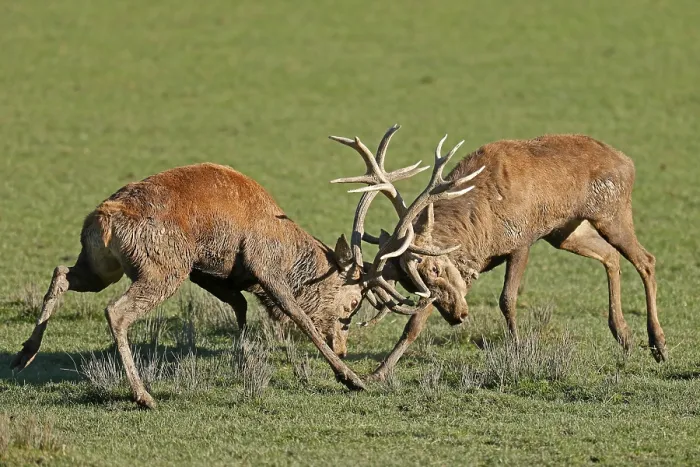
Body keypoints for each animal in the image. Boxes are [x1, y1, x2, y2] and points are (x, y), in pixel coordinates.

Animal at [9, 162, 419, 408]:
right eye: (350, 305)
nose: (344, 348)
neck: (290, 253)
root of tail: (105, 218)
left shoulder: (210, 271)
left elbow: (241, 308)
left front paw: (244, 364)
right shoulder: (263, 264)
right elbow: (296, 315)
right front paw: (351, 378)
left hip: (101, 266)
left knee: (62, 273)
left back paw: (24, 355)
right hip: (163, 267)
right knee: (116, 311)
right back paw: (143, 395)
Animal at [330, 125, 667, 381]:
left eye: (435, 269)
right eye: (412, 285)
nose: (458, 316)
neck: (481, 230)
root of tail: (627, 161)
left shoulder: (522, 240)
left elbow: (507, 299)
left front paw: (517, 351)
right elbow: (414, 325)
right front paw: (377, 372)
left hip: (611, 211)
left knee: (646, 260)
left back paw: (658, 344)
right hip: (566, 231)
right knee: (611, 257)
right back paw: (624, 336)